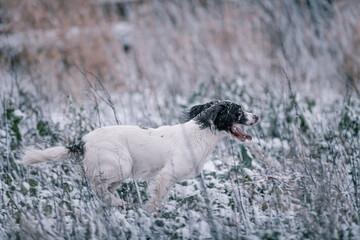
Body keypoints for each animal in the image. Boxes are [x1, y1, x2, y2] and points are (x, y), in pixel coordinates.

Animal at [21, 101, 258, 212]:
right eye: (238, 112)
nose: (256, 116)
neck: (199, 134)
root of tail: (82, 143)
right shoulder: (167, 174)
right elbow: (157, 199)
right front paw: (149, 211)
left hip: (118, 172)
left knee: (103, 190)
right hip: (121, 164)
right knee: (97, 186)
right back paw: (120, 203)